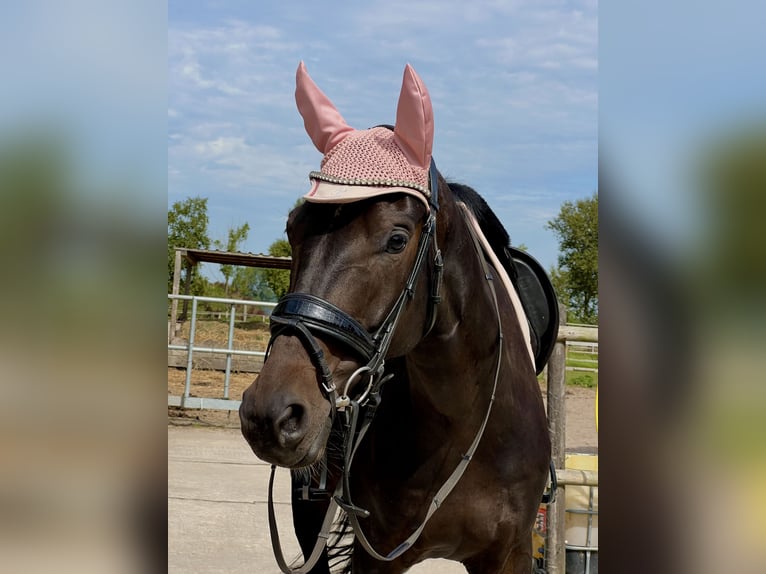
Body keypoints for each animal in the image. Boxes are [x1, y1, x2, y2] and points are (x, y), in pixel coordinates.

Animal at [240, 62, 553, 574]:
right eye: (292, 229)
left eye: (397, 239)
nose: (269, 412)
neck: (461, 420)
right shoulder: (377, 555)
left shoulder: (511, 553)